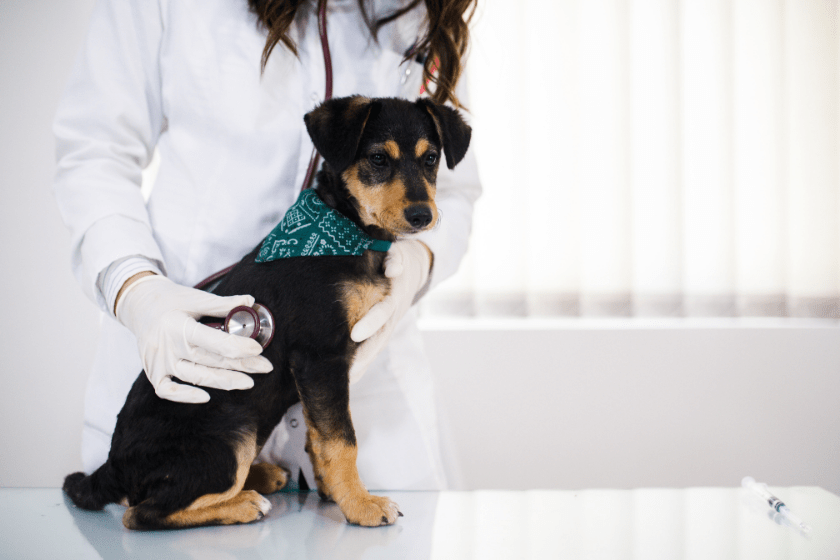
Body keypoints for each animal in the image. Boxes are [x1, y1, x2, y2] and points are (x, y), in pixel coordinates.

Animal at [64, 95, 472, 528]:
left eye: (431, 159)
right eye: (378, 158)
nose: (423, 216)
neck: (346, 231)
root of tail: (112, 467)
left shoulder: (321, 374)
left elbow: (319, 436)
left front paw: (333, 490)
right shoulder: (320, 356)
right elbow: (343, 438)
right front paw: (360, 504)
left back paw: (261, 477)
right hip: (233, 436)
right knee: (141, 513)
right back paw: (244, 502)